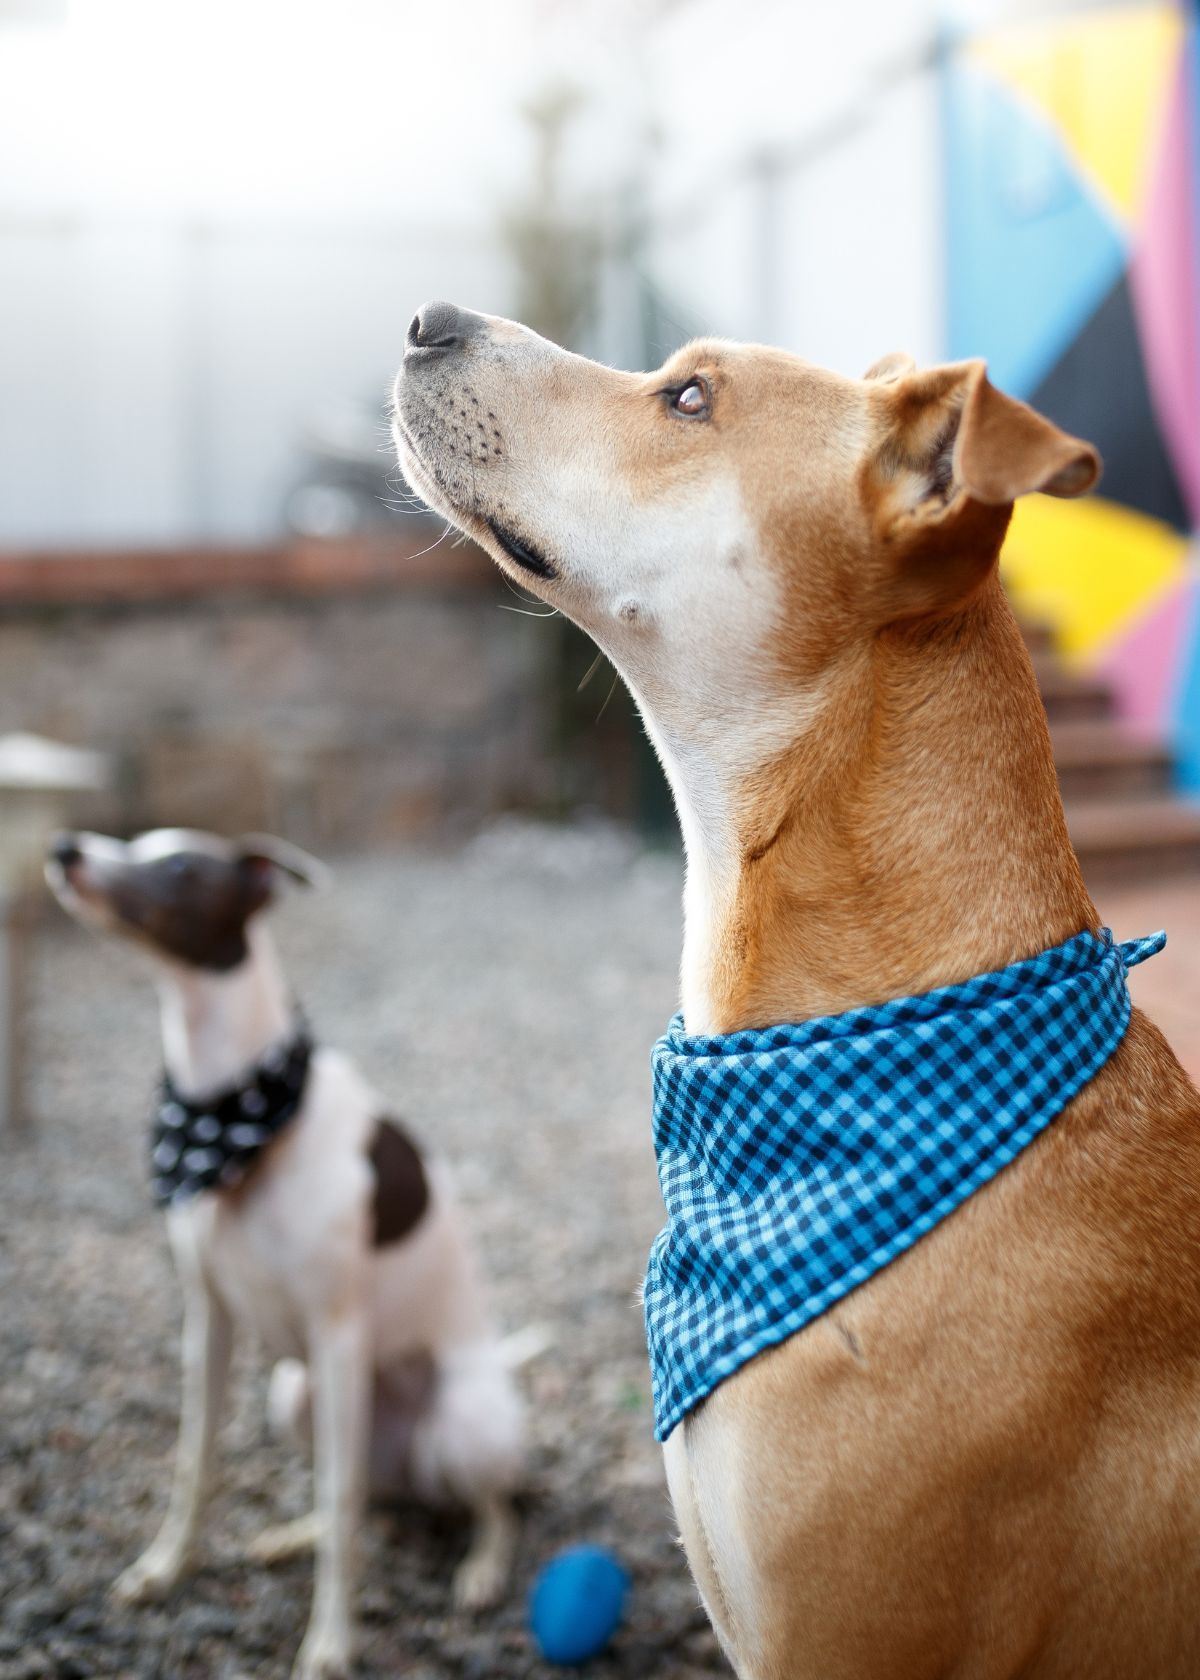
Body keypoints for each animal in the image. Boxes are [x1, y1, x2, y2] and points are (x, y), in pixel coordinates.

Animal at [44, 829, 521, 1680]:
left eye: (181, 868)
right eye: (135, 843)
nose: (66, 847)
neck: (232, 1120)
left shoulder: (338, 1335)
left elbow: (335, 1492)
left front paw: (329, 1644)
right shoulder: (209, 1319)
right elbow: (195, 1459)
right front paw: (164, 1568)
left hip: (462, 1423)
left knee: (486, 1503)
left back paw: (482, 1568)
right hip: (294, 1396)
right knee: (366, 1494)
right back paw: (293, 1536)